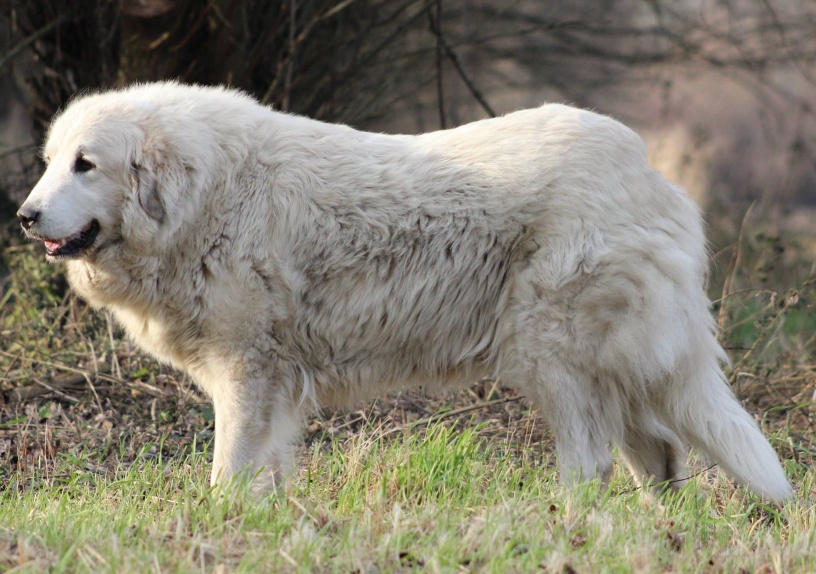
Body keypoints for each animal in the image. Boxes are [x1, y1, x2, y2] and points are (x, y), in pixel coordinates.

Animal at [15, 83, 792, 502]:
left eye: (87, 165)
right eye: (49, 163)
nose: (24, 215)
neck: (205, 198)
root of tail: (653, 176)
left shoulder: (249, 373)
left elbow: (227, 473)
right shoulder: (269, 385)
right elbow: (265, 476)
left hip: (555, 363)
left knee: (590, 467)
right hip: (608, 372)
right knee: (658, 457)